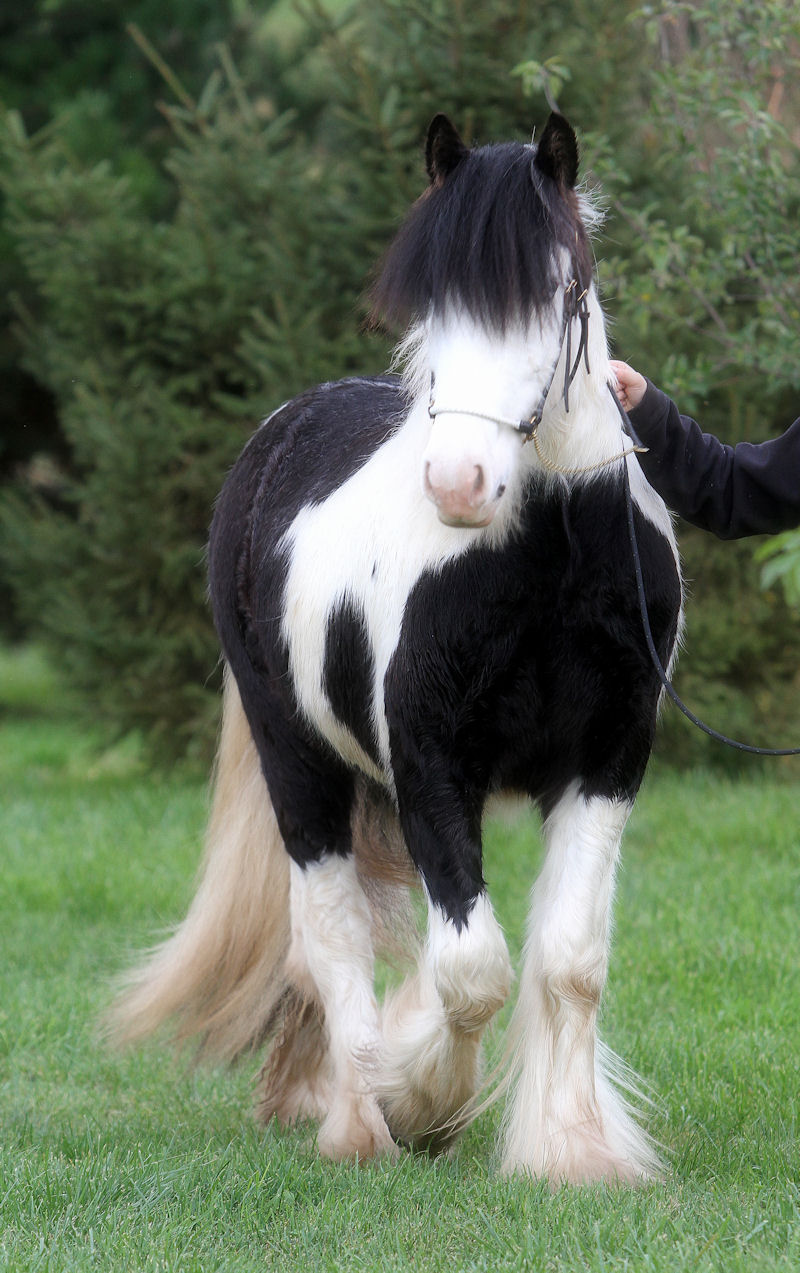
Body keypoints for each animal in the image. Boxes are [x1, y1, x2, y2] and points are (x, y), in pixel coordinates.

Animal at [110, 109, 682, 1181]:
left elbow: (568, 961)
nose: (458, 482)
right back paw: (353, 1123)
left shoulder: (609, 761)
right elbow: (471, 968)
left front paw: (571, 1150)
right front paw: (420, 1101)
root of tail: (281, 430)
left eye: (558, 290)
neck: (547, 551)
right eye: (432, 303)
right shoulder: (429, 766)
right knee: (328, 931)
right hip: (301, 767)